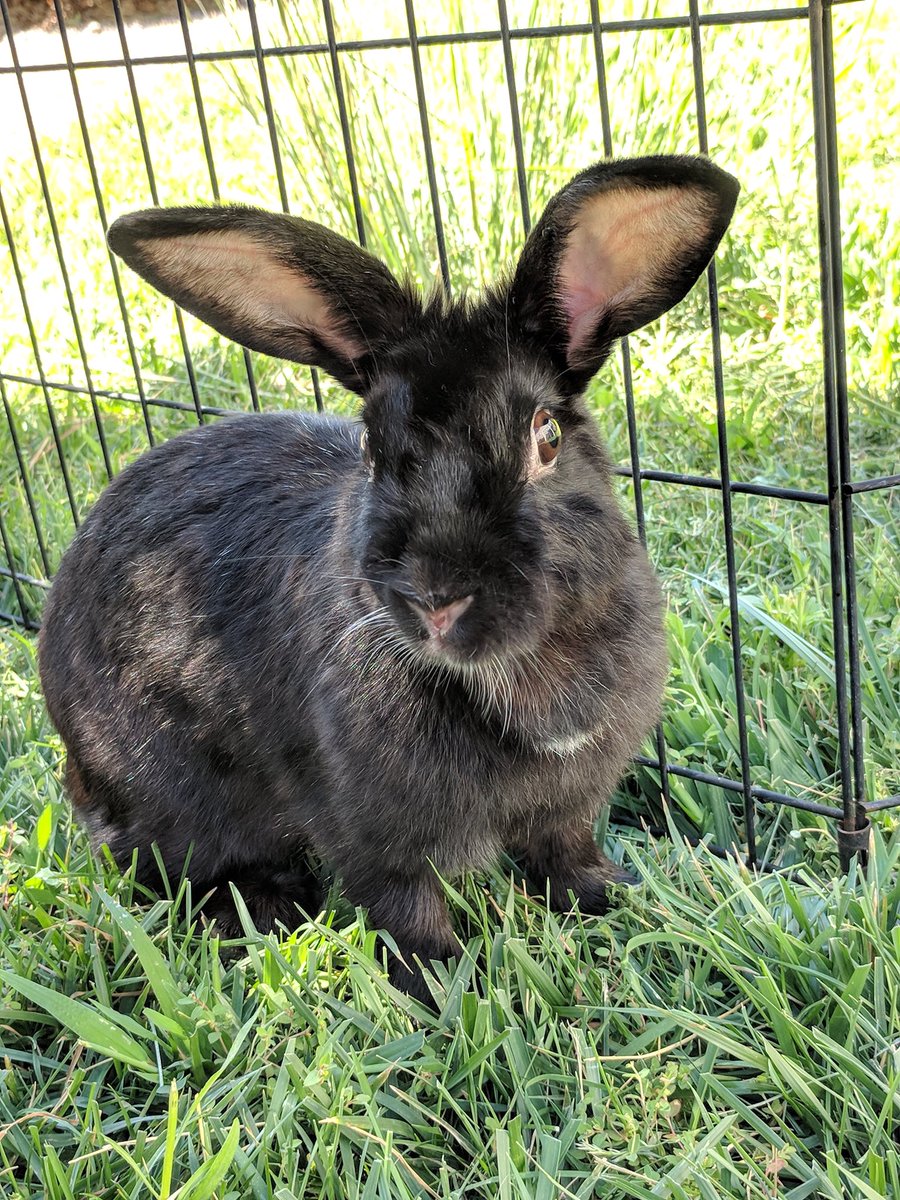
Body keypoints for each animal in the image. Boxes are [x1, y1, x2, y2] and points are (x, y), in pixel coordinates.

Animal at [39, 155, 739, 1003]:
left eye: (544, 437)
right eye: (372, 451)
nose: (435, 599)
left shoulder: (569, 805)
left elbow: (566, 854)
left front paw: (612, 900)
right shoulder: (368, 825)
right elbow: (404, 902)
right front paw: (441, 984)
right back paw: (266, 909)